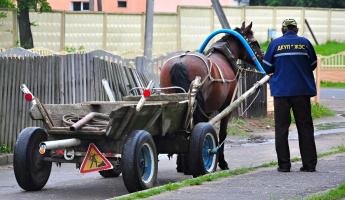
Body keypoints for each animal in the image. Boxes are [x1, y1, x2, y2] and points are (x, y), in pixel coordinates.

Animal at [159, 21, 264, 172]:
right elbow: (221, 133)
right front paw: (222, 162)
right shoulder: (226, 107)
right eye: (254, 42)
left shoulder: (206, 110)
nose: (262, 57)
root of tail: (180, 63)